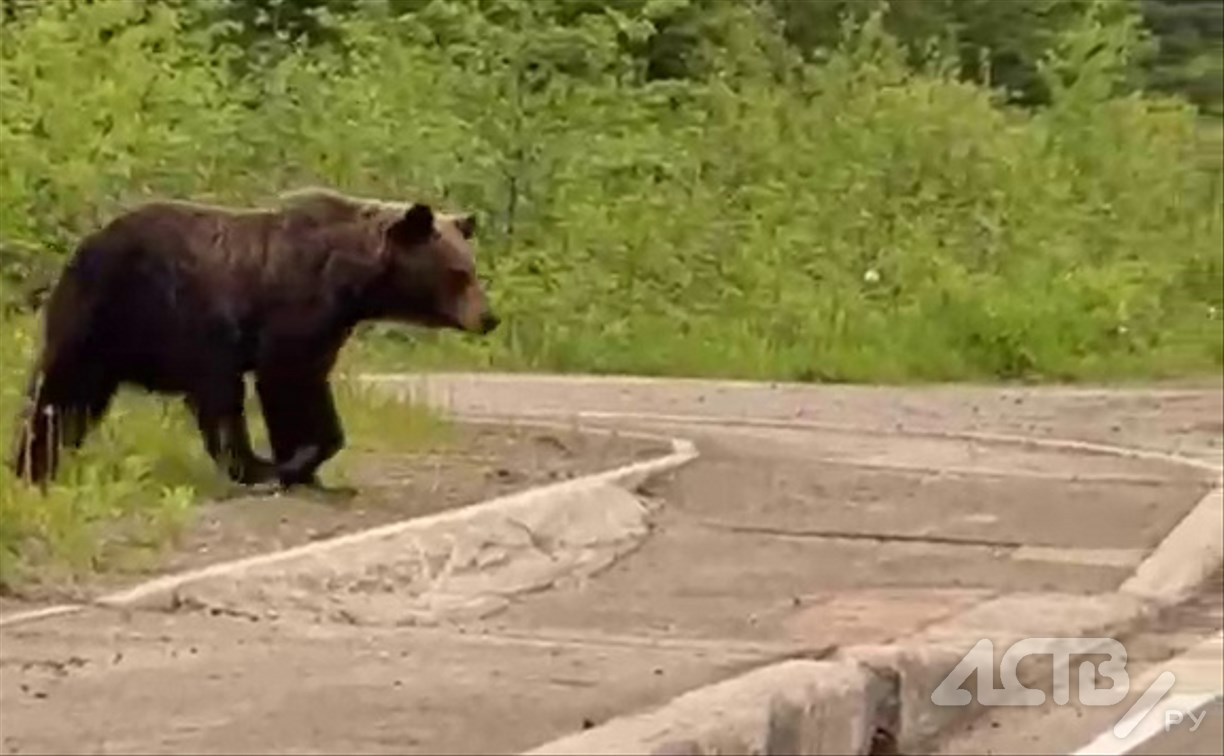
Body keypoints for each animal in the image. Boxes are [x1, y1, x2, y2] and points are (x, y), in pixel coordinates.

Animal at [7, 187, 499, 490]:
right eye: (459, 272)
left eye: (473, 269)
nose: (488, 317)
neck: (350, 284)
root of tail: (83, 246)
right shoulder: (291, 314)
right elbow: (286, 382)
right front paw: (298, 460)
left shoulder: (326, 329)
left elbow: (310, 384)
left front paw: (310, 467)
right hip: (150, 315)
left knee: (65, 401)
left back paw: (33, 463)